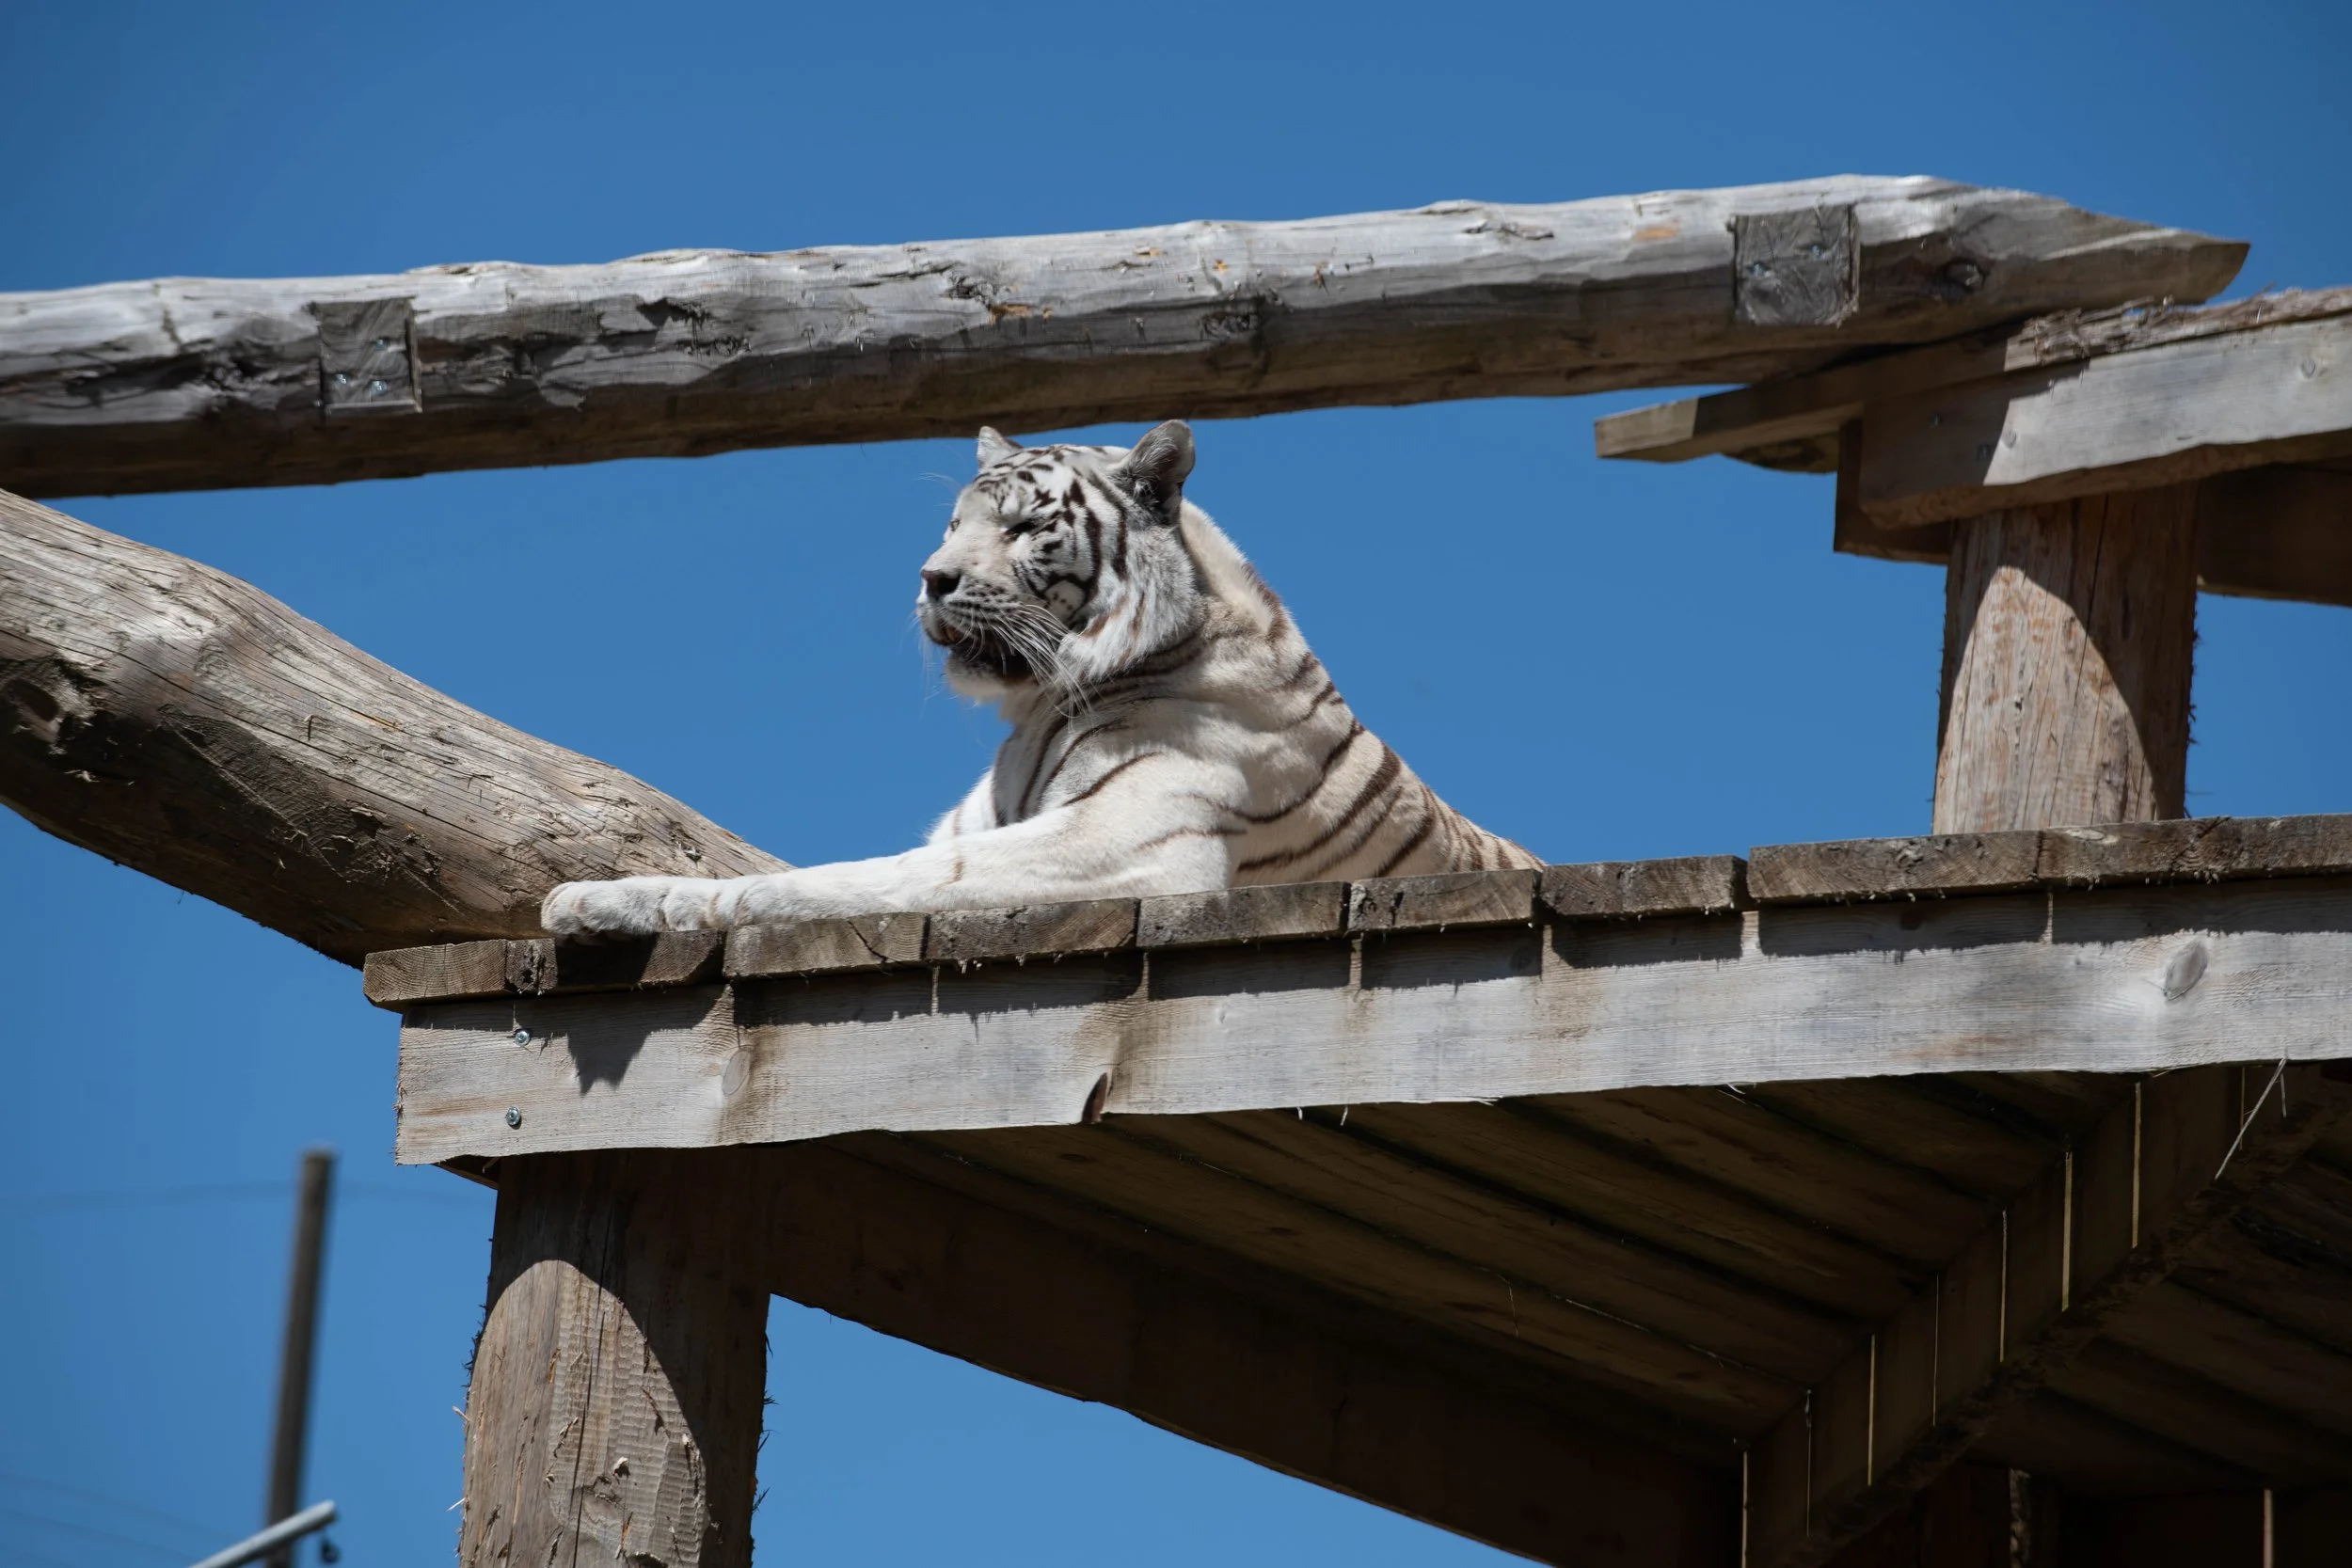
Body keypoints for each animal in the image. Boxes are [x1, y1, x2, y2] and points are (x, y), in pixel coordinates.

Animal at [540, 420, 1538, 938]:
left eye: (1022, 528)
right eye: (953, 524)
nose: (930, 577)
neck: (1040, 701)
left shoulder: (1135, 844)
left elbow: (873, 878)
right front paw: (602, 899)